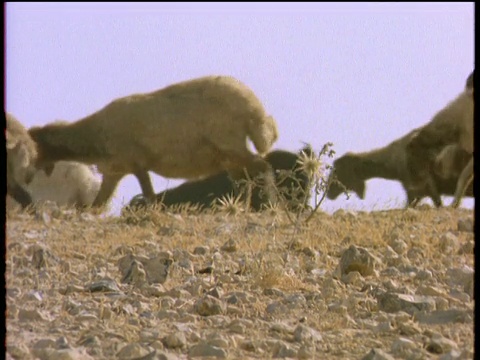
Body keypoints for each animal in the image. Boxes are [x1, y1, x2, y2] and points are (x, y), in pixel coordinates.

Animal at [28, 76, 280, 211]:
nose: (27, 176)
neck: (94, 137)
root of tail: (254, 108)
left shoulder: (137, 164)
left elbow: (150, 197)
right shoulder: (115, 171)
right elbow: (96, 206)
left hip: (231, 145)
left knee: (262, 167)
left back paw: (267, 205)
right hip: (229, 156)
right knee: (244, 179)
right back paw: (242, 207)